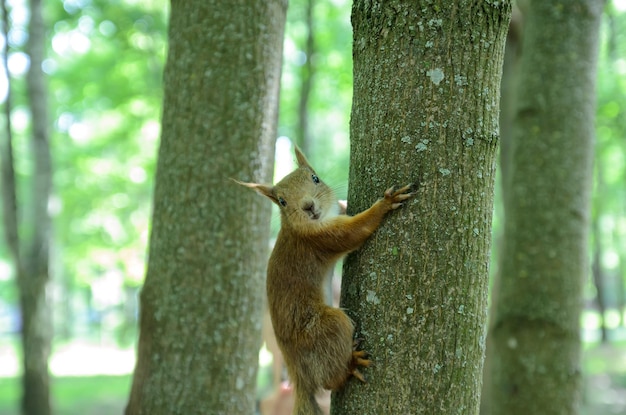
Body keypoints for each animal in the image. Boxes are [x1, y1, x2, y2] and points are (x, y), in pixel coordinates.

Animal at [236, 147, 412, 415]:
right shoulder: (322, 239)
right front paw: (385, 204)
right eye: (282, 202)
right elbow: (355, 230)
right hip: (326, 327)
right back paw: (350, 365)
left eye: (315, 178)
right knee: (330, 381)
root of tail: (297, 373)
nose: (308, 206)